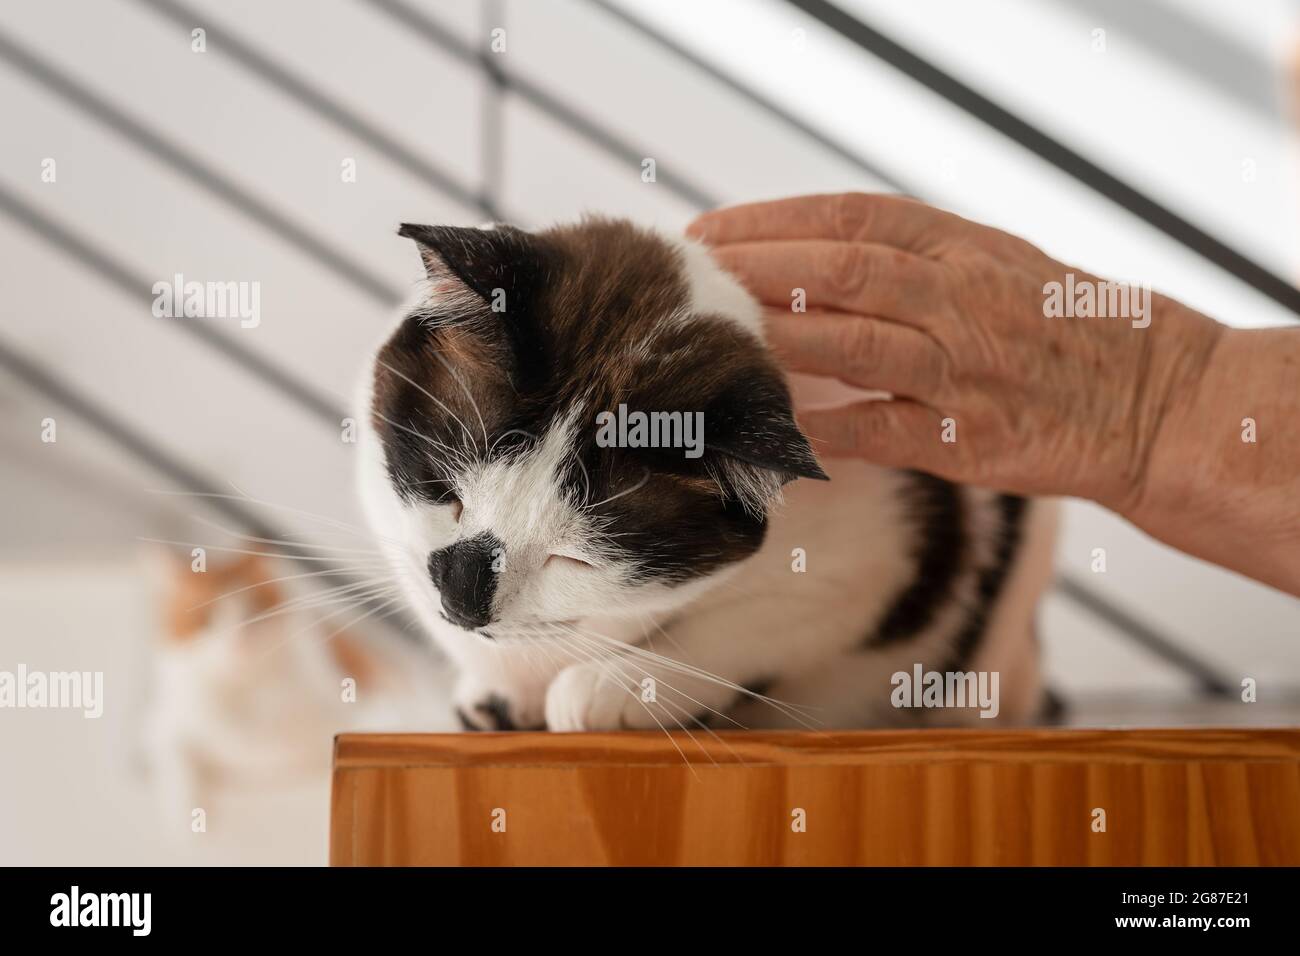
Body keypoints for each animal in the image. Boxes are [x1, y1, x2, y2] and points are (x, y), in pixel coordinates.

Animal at [356, 217, 1055, 728]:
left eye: (576, 559)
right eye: (444, 492)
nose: (462, 592)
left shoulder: (876, 561)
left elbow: (743, 630)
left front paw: (606, 689)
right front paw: (504, 695)